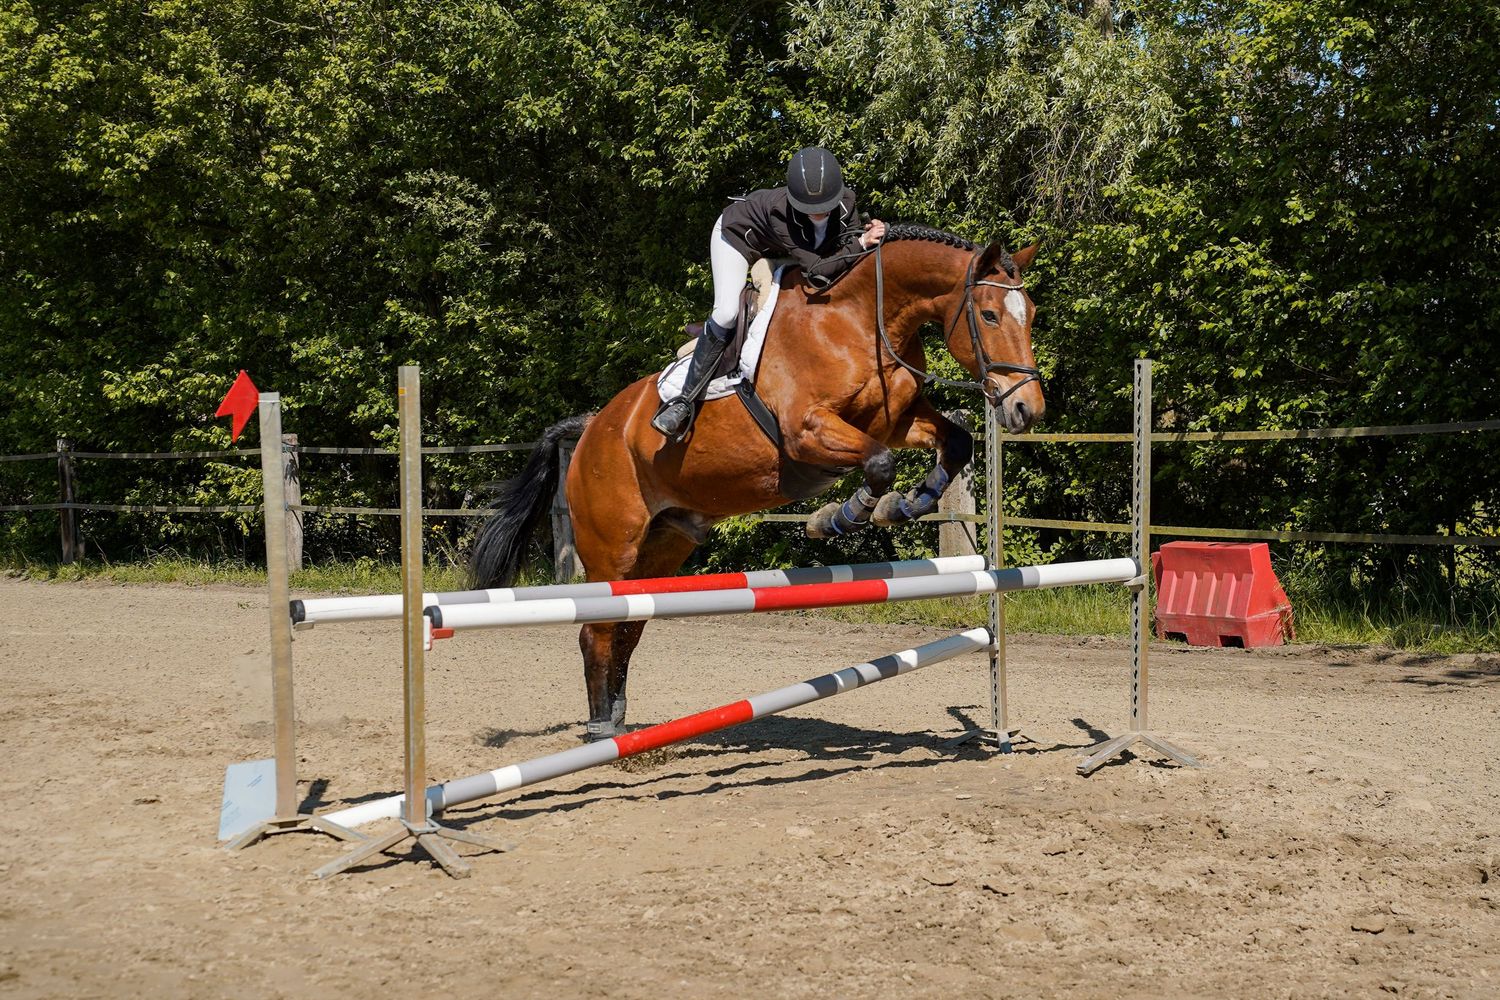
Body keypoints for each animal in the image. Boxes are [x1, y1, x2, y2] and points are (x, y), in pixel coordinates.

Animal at [470, 224, 1044, 739]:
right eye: (989, 314)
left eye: (1032, 315)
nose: (1026, 409)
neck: (861, 321)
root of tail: (591, 428)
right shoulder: (807, 430)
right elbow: (880, 464)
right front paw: (838, 517)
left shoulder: (896, 420)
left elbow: (956, 442)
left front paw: (904, 506)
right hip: (612, 547)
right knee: (597, 631)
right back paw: (598, 731)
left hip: (663, 546)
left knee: (628, 629)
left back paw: (616, 720)